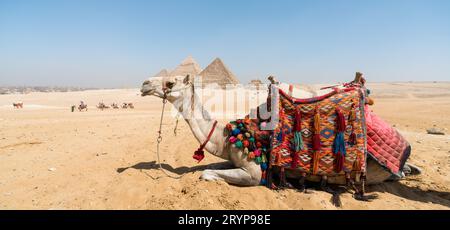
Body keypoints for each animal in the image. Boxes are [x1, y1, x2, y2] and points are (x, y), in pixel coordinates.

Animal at [142, 74, 422, 190]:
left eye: (171, 82)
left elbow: (207, 174)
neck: (229, 136)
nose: (145, 84)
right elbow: (210, 167)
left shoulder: (254, 172)